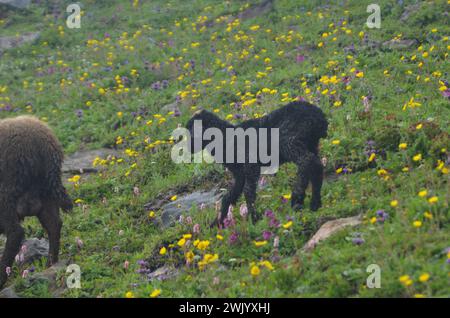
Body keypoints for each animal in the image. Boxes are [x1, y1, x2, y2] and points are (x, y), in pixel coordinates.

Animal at [185, 101, 328, 226]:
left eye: (192, 129)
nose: (188, 148)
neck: (226, 139)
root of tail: (319, 116)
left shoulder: (251, 163)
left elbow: (248, 191)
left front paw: (254, 218)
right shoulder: (239, 173)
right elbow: (229, 195)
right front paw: (218, 222)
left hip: (289, 140)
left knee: (307, 161)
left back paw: (297, 198)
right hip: (311, 143)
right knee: (315, 166)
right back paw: (315, 203)